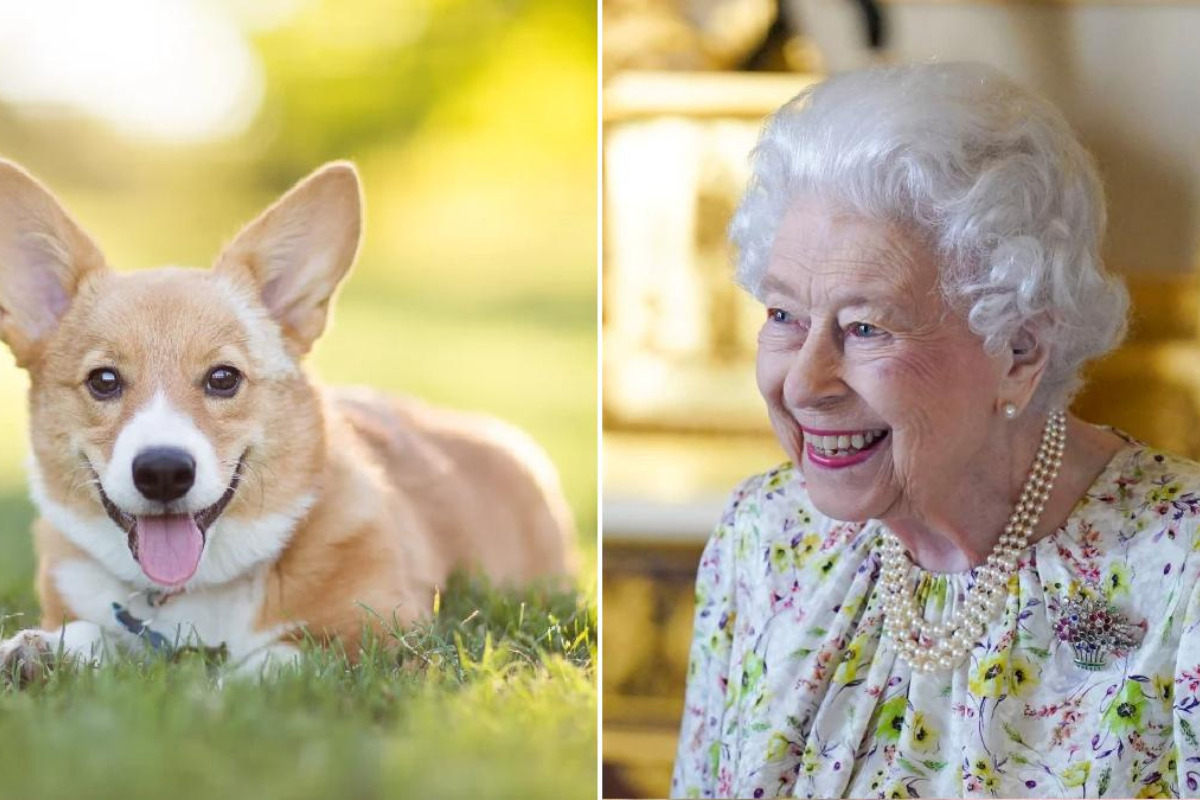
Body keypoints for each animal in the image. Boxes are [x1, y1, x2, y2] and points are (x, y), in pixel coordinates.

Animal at [0, 159, 576, 681]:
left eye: (223, 377)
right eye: (104, 380)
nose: (163, 472)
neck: (192, 589)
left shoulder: (387, 634)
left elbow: (282, 656)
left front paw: (219, 690)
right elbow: (88, 629)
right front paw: (37, 650)